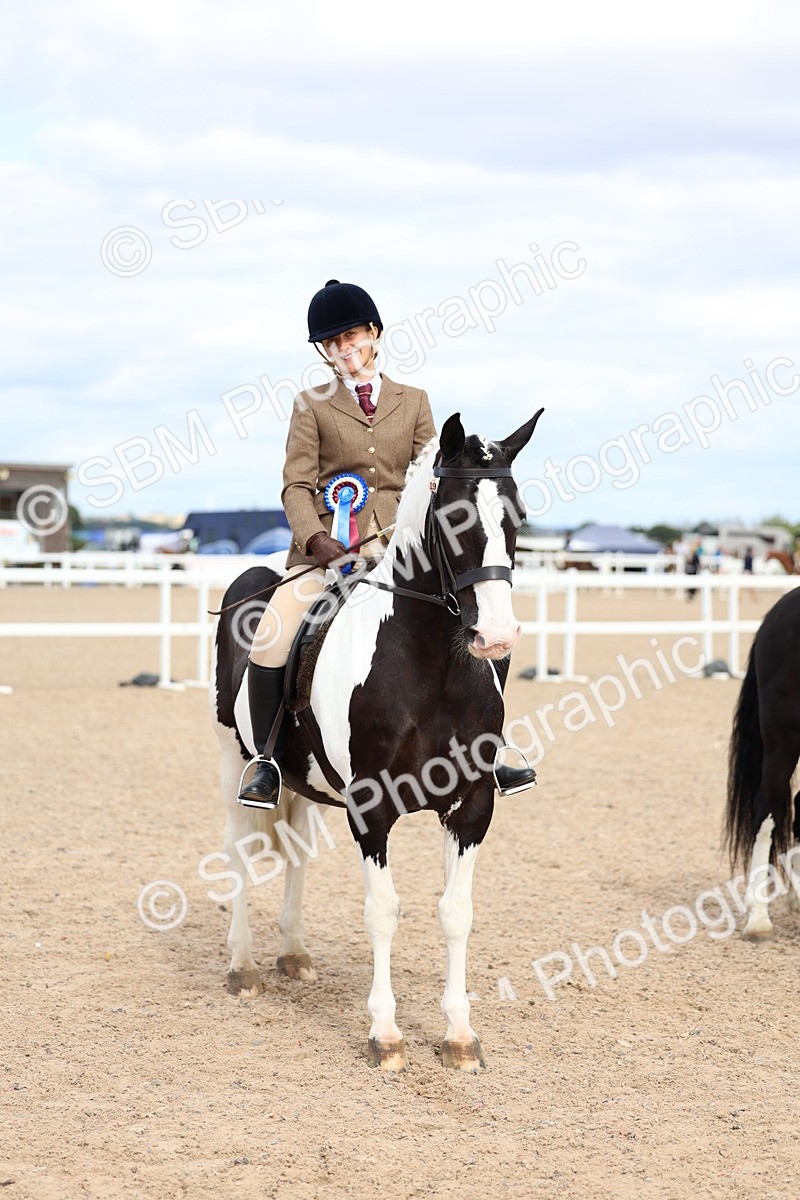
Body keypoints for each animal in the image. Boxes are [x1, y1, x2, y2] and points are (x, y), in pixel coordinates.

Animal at [210, 409, 543, 1071]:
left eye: (517, 516)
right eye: (454, 516)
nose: (495, 635)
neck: (433, 666)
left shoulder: (472, 806)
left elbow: (456, 913)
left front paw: (460, 1035)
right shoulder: (371, 806)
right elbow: (383, 912)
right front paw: (385, 1034)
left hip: (304, 781)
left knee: (296, 853)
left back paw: (294, 954)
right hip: (234, 756)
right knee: (239, 849)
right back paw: (243, 966)